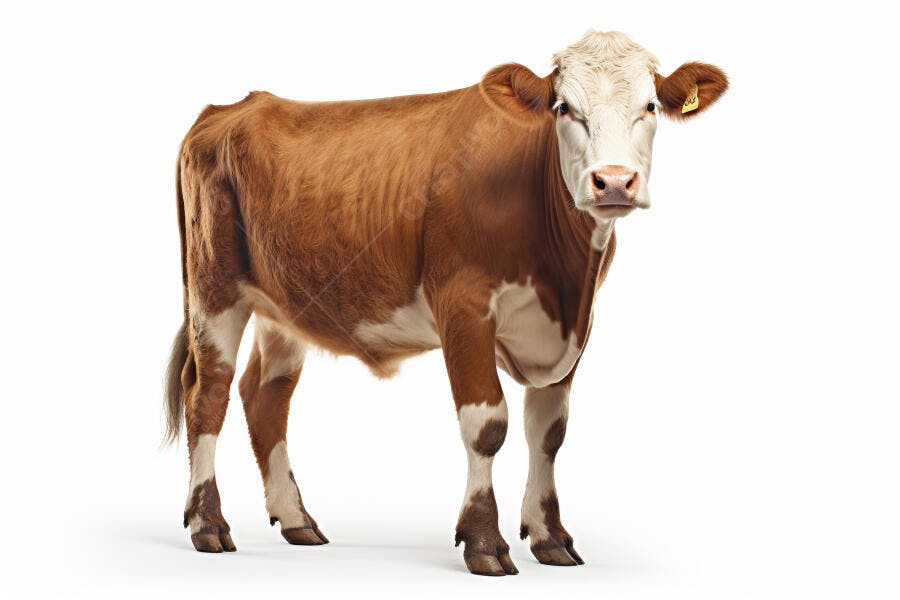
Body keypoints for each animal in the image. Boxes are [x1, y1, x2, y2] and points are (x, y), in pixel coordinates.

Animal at [165, 29, 727, 576]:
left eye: (650, 105)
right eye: (564, 107)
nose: (613, 181)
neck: (563, 279)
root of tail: (228, 109)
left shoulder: (574, 325)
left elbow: (548, 433)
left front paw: (550, 536)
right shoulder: (462, 304)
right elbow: (487, 425)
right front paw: (483, 541)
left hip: (287, 302)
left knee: (265, 394)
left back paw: (297, 518)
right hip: (214, 286)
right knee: (208, 392)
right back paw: (208, 524)